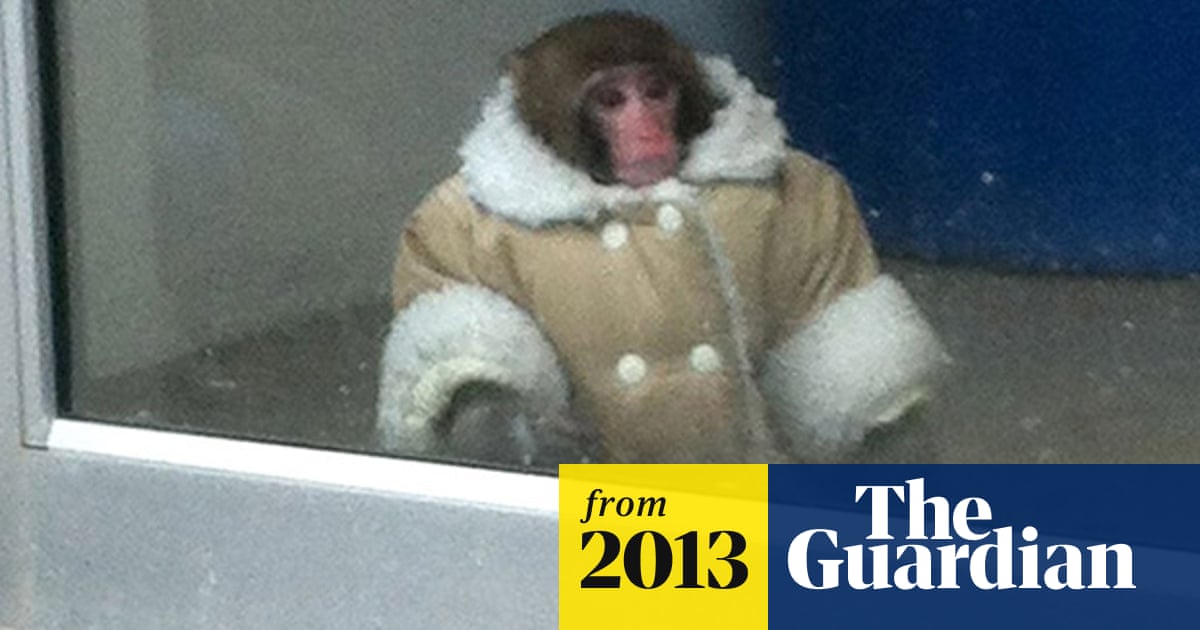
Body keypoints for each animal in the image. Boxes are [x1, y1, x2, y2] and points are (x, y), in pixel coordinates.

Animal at [377, 12, 947, 467]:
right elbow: (462, 311)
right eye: (611, 100)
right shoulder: (451, 217)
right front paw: (502, 419)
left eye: (655, 91)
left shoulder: (816, 201)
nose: (647, 129)